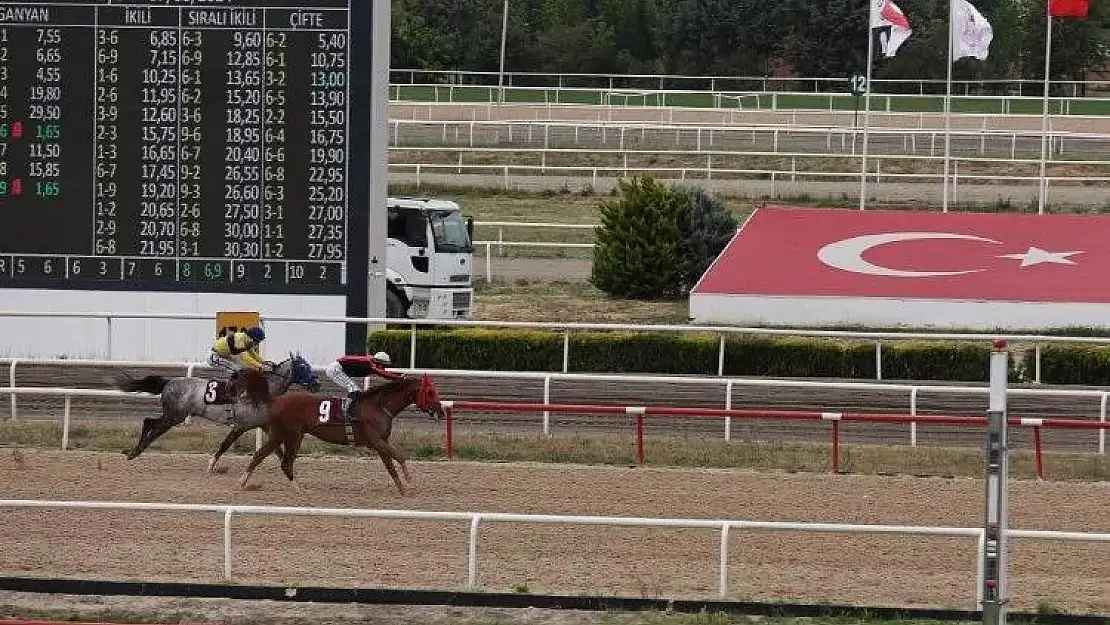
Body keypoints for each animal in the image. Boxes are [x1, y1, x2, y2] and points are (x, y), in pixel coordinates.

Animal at [114, 355, 319, 472]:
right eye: (303, 367)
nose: (317, 383)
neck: (262, 390)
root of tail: (169, 382)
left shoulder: (262, 425)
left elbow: (276, 448)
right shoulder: (240, 425)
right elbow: (225, 444)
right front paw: (211, 464)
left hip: (172, 415)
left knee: (149, 421)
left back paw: (132, 451)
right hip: (174, 416)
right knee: (153, 426)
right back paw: (134, 453)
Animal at [236, 368, 444, 497]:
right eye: (431, 392)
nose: (441, 412)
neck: (380, 406)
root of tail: (275, 400)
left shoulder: (381, 443)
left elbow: (390, 466)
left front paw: (402, 489)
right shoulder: (377, 441)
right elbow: (401, 457)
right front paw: (410, 482)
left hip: (289, 435)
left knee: (272, 458)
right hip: (288, 434)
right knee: (273, 459)